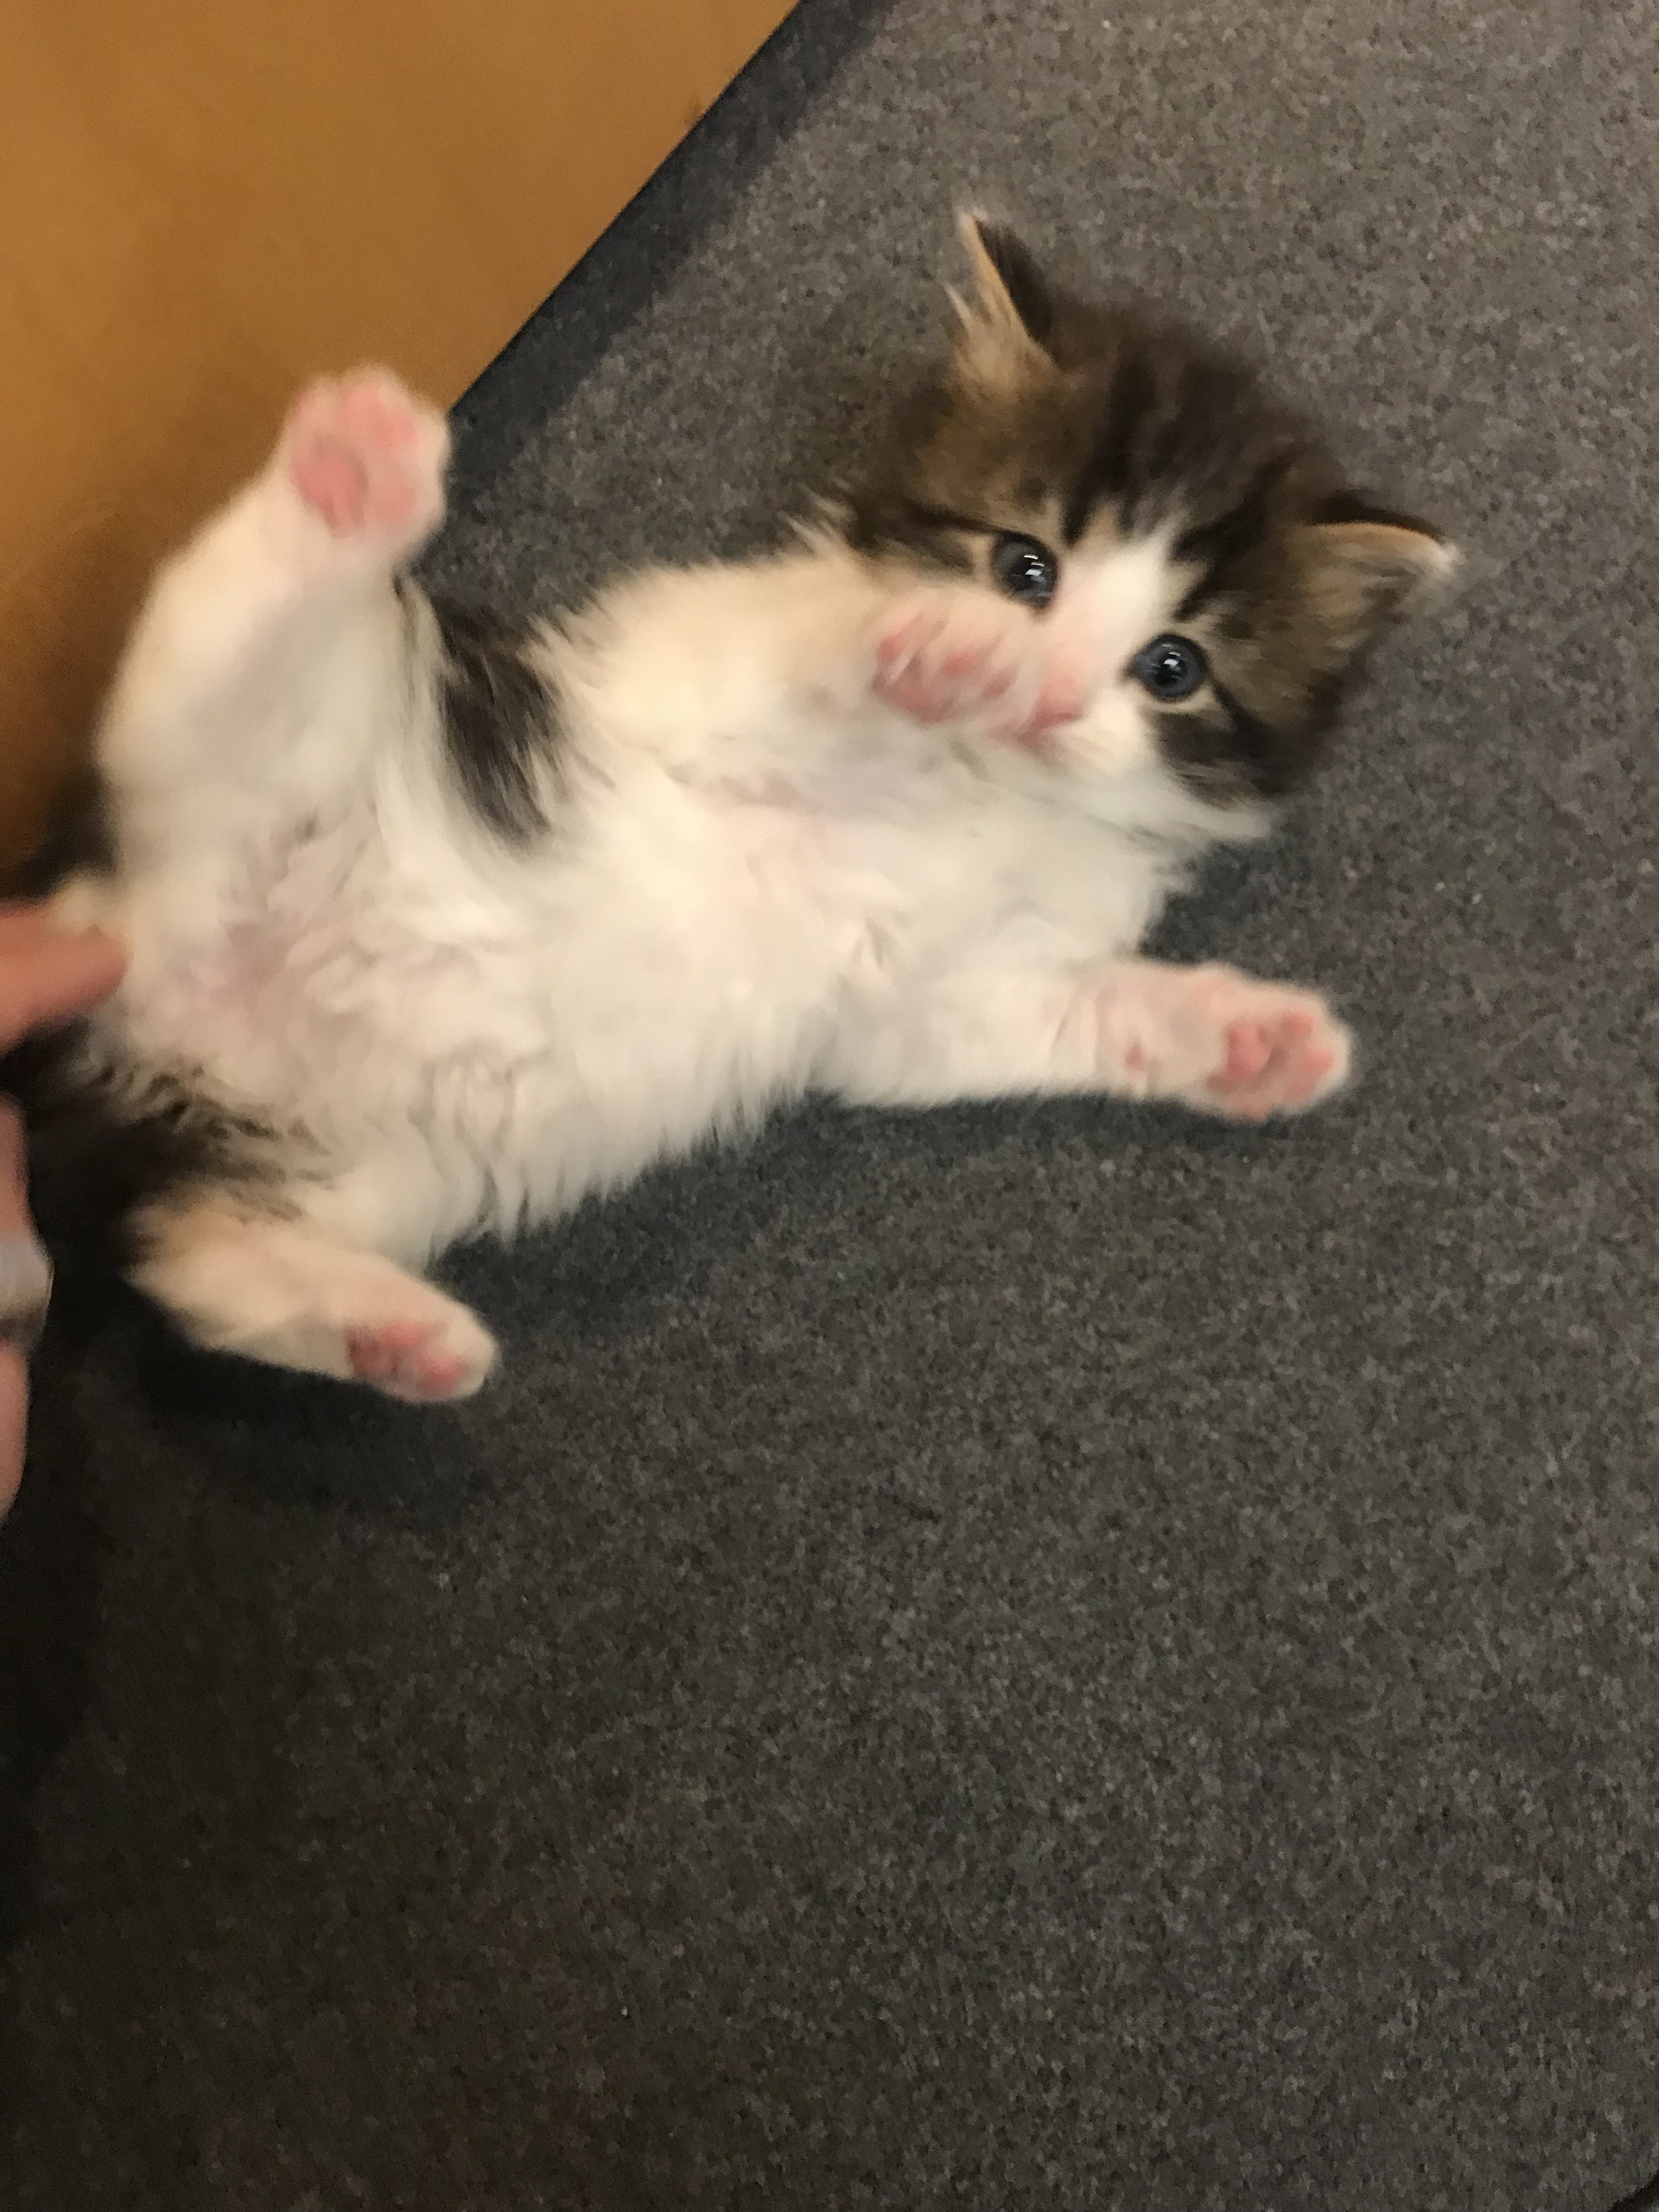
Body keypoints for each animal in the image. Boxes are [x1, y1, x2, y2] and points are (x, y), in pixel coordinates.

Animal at [3, 224, 1451, 1398]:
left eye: (1172, 668)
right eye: (1023, 567)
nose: (1042, 693)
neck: (994, 795)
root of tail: (127, 957)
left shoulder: (926, 1001)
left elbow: (1059, 1013)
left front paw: (1243, 1039)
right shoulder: (694, 677)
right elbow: (817, 680)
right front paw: (934, 653)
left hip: (373, 1169)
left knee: (188, 1252)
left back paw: (384, 1330)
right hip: (253, 762)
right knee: (214, 645)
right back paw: (347, 483)